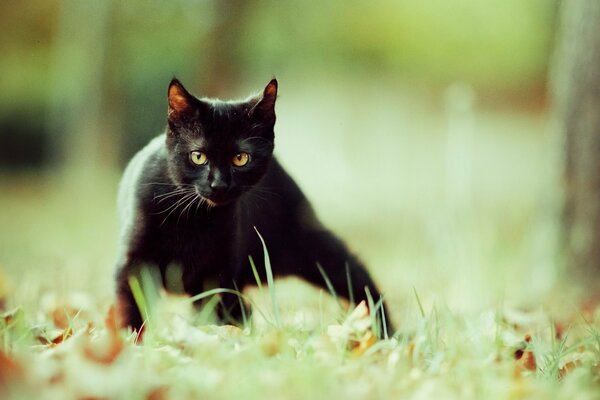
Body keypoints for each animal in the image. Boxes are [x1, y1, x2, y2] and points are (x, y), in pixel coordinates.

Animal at [115, 78, 394, 334]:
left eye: (240, 158)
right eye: (198, 157)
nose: (219, 184)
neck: (192, 219)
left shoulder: (220, 272)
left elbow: (218, 314)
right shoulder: (134, 264)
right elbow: (131, 305)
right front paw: (130, 342)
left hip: (310, 246)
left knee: (355, 274)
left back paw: (384, 330)